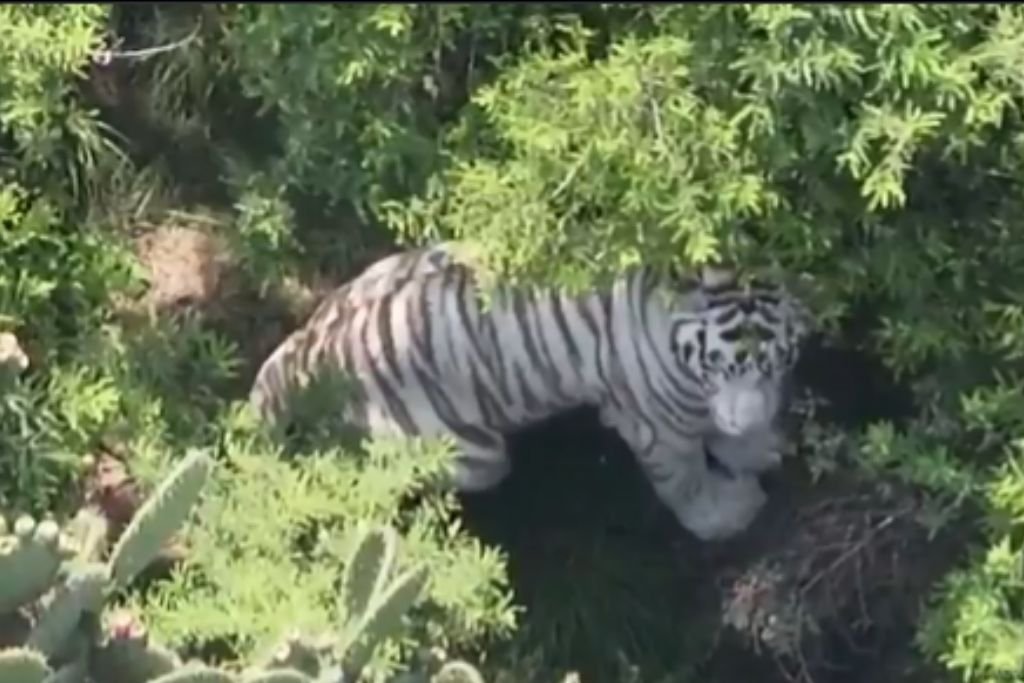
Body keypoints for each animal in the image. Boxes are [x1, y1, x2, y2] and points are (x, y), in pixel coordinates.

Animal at [249, 243, 812, 541]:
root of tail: (309, 348)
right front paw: (729, 513)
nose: (747, 416)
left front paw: (759, 446)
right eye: (719, 365)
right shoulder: (657, 425)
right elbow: (687, 481)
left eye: (778, 361)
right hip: (470, 455)